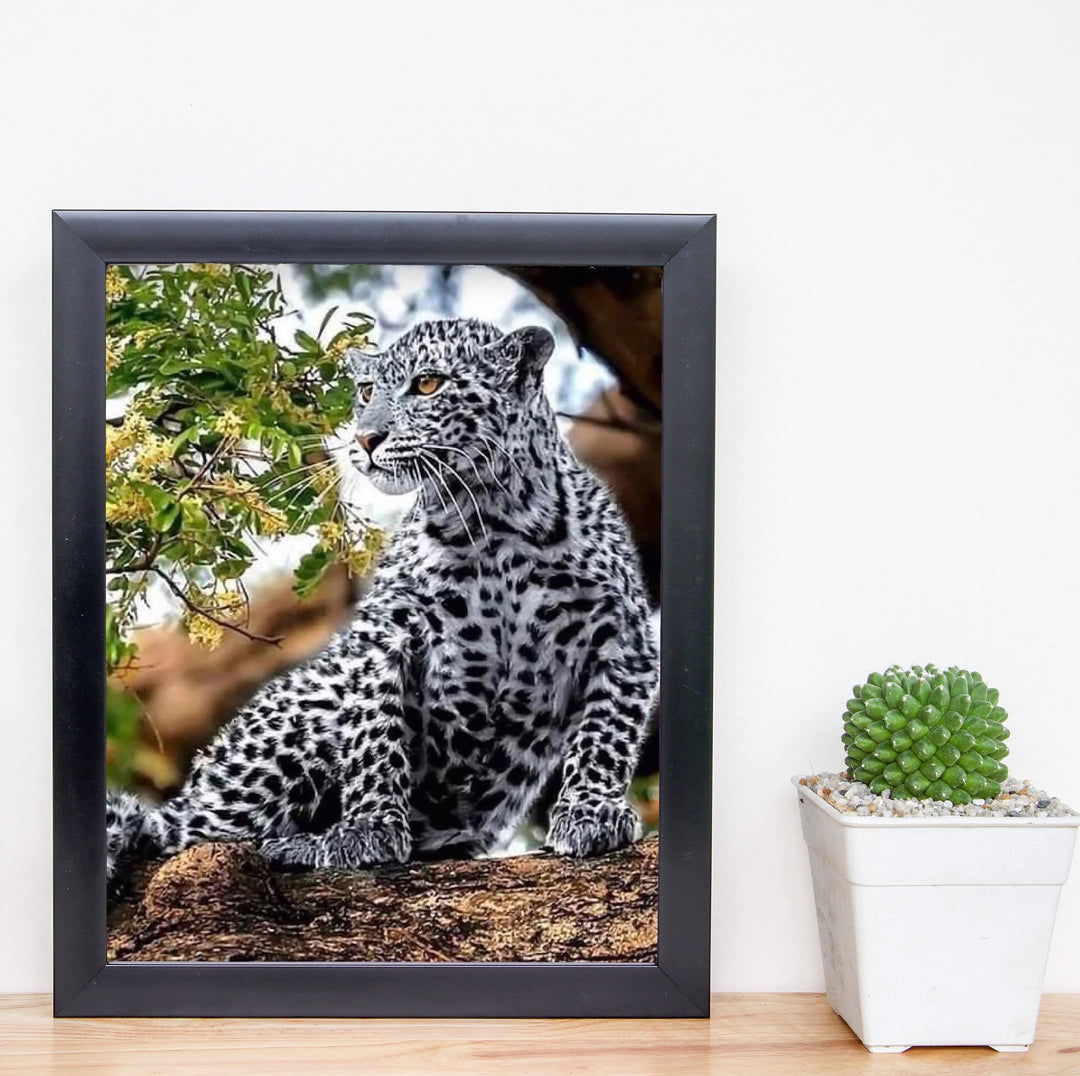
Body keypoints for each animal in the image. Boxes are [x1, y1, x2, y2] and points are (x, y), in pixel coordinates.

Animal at [106, 317, 659, 883]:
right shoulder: (384, 634)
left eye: (428, 385)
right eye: (368, 392)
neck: (494, 519)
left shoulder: (623, 635)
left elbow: (607, 731)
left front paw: (592, 812)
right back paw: (292, 842)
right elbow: (374, 733)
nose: (366, 438)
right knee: (179, 836)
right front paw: (368, 829)